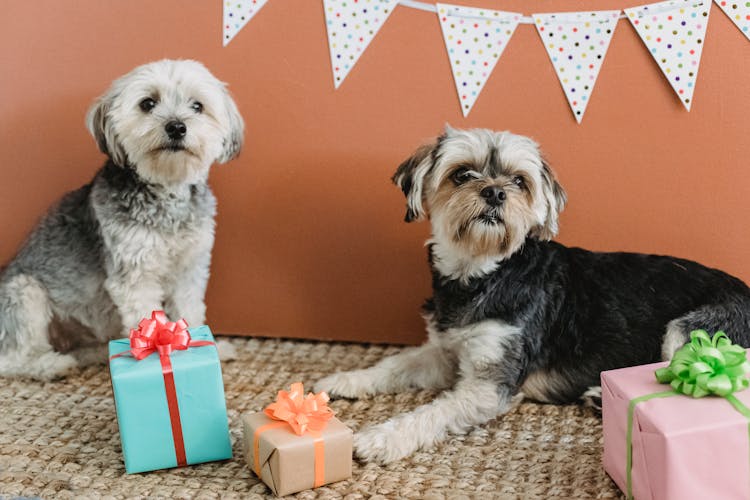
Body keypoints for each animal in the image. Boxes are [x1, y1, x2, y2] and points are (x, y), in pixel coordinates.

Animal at [0, 58, 244, 378]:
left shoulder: (189, 269)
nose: (176, 127)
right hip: (24, 292)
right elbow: (145, 316)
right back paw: (52, 365)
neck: (167, 194)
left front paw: (204, 346)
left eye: (197, 106)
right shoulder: (135, 273)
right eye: (148, 103)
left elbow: (189, 311)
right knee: (11, 359)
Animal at [318, 126, 750, 464]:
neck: (484, 273)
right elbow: (395, 365)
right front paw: (345, 379)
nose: (495, 193)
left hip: (690, 332)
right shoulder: (444, 352)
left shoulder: (489, 384)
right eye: (461, 174)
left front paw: (381, 438)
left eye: (519, 182)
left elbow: (431, 413)